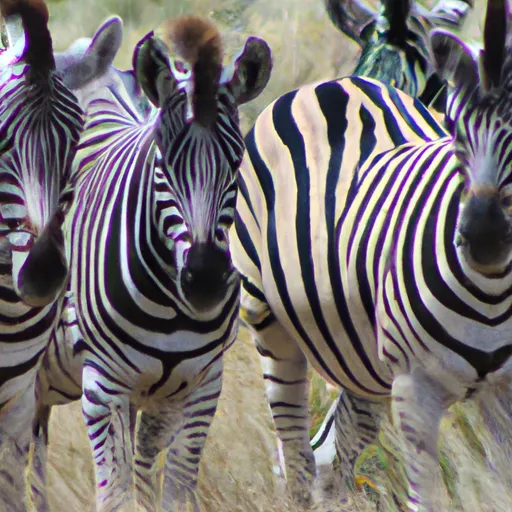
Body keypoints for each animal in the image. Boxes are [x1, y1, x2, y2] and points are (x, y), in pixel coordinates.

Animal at [30, 14, 274, 510]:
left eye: (237, 160)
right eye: (161, 162)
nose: (205, 280)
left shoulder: (201, 387)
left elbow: (172, 492)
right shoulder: (103, 389)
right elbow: (115, 495)